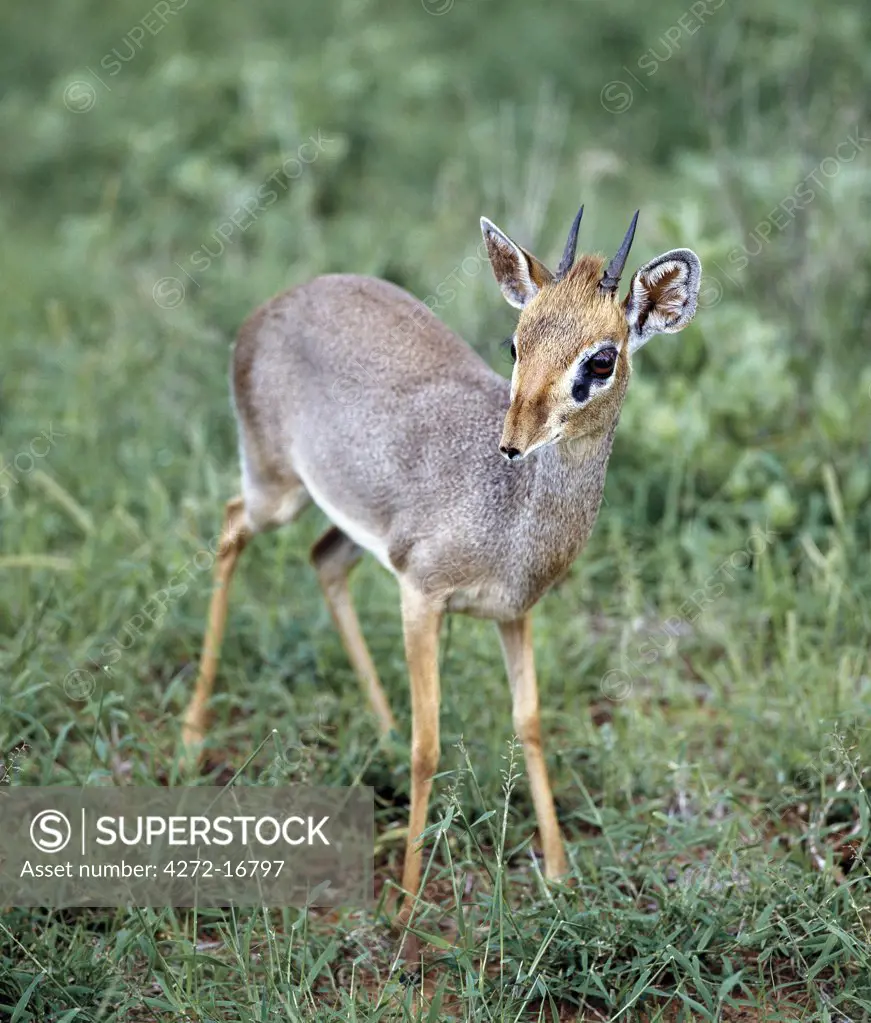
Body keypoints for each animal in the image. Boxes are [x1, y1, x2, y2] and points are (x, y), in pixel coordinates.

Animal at [182, 203, 700, 908]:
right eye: (516, 342)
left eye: (601, 359)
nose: (513, 443)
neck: (508, 514)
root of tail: (276, 303)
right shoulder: (421, 596)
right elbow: (428, 746)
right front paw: (404, 900)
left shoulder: (513, 614)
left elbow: (529, 723)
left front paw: (559, 871)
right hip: (275, 490)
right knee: (232, 529)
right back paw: (191, 735)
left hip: (345, 521)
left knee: (323, 559)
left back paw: (377, 727)